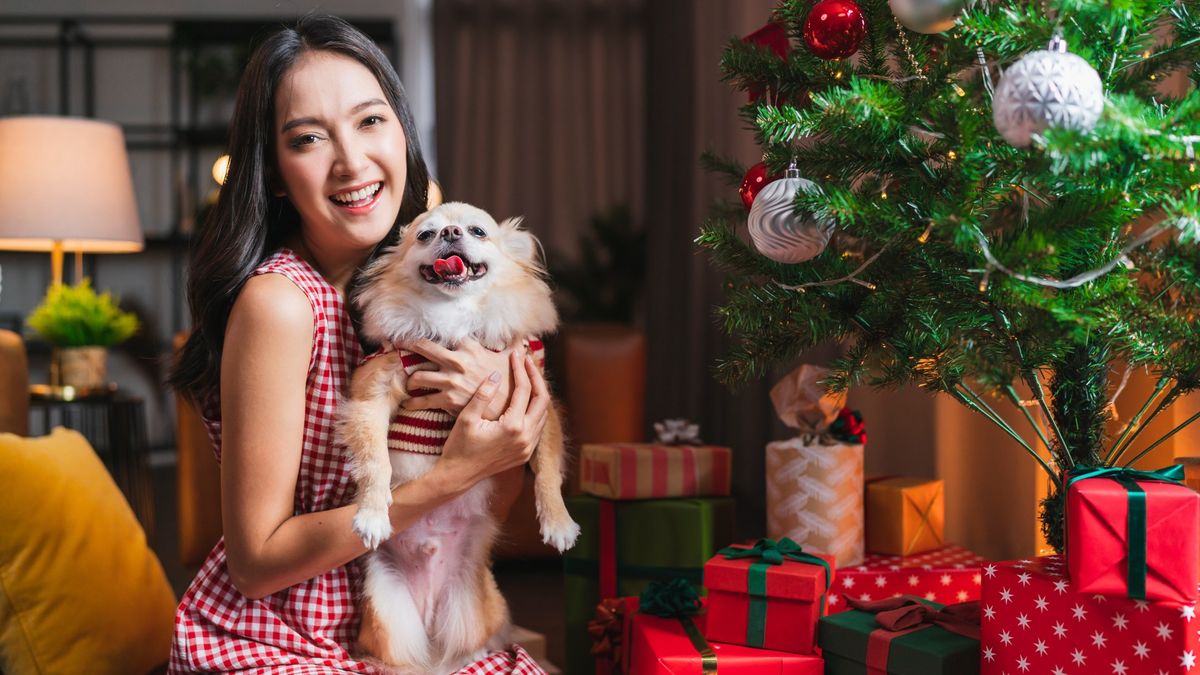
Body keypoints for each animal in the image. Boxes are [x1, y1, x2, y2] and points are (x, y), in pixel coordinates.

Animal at [338, 201, 580, 667]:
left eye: (477, 232)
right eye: (425, 235)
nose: (450, 233)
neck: (454, 321)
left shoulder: (537, 402)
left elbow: (546, 472)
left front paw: (559, 522)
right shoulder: (373, 392)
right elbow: (375, 460)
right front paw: (372, 512)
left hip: (477, 605)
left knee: (469, 644)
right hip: (389, 614)